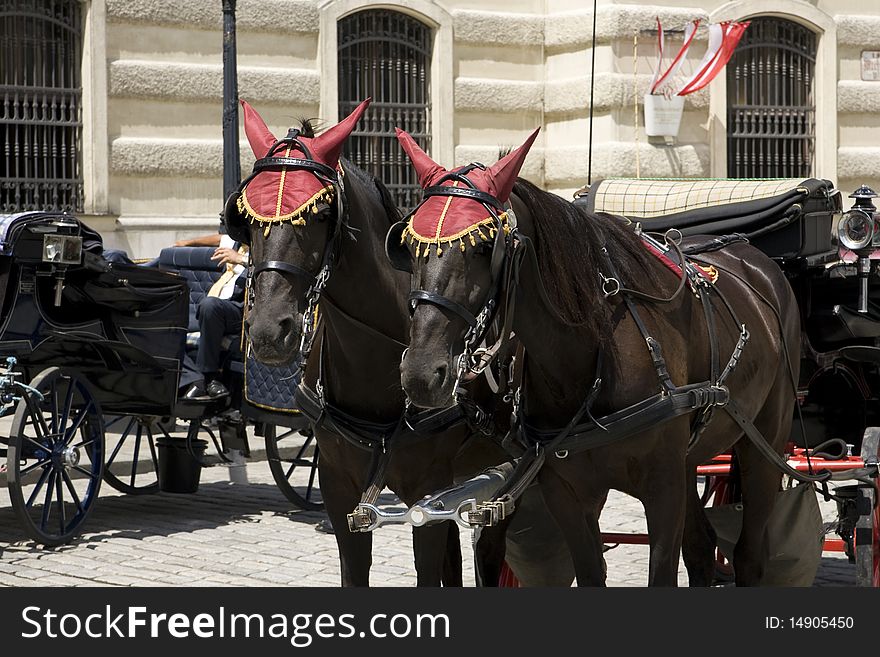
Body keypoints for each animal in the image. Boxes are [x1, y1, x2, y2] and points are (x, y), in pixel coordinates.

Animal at [392, 128, 804, 584]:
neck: (589, 360)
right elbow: (590, 570)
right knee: (701, 547)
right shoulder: (568, 492)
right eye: (408, 247)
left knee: (750, 554)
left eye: (484, 248)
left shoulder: (663, 489)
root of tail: (755, 259)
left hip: (765, 440)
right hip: (690, 458)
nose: (421, 373)